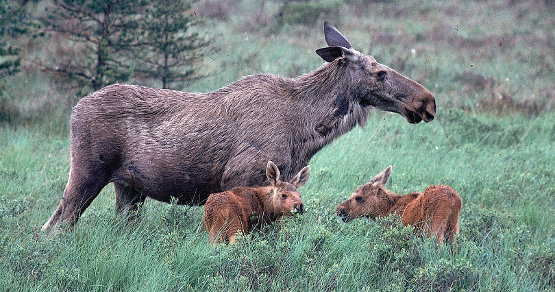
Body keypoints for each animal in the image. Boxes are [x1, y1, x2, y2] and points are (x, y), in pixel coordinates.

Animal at [42, 21, 434, 234]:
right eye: (379, 72)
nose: (427, 101)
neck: (307, 130)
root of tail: (74, 110)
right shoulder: (241, 177)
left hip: (129, 189)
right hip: (87, 173)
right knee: (53, 227)